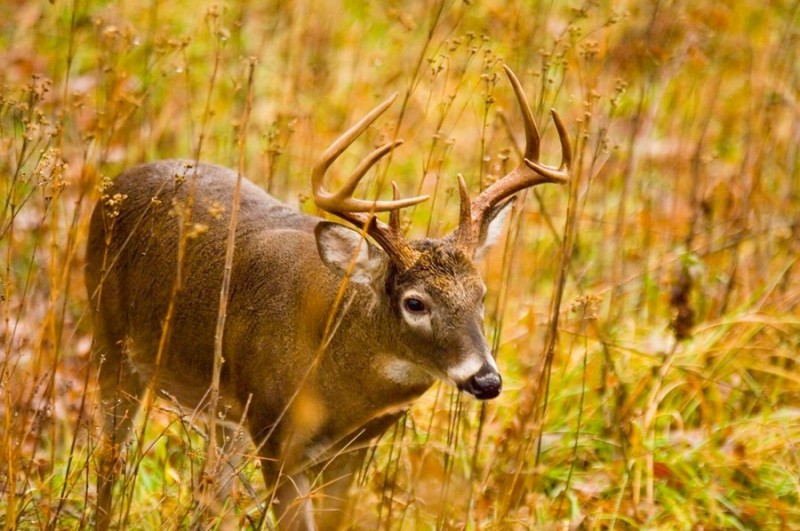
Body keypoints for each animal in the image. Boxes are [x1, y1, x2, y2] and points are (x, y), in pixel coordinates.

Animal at [84, 64, 572, 528]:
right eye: (414, 302)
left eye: (482, 295)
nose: (486, 381)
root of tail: (115, 184)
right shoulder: (275, 432)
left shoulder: (349, 450)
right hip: (110, 339)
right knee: (109, 460)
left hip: (223, 408)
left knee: (211, 489)